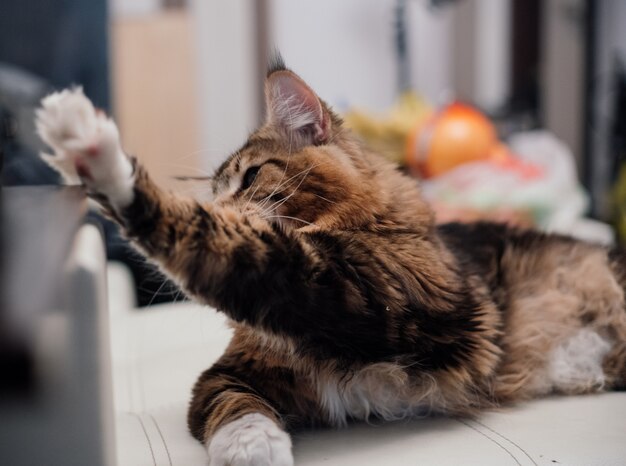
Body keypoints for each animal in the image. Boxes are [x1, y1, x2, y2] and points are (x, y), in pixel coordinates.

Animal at [35, 56, 624, 464]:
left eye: (250, 177)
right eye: (217, 191)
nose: (222, 205)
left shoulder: (353, 292)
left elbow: (216, 241)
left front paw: (93, 152)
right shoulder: (231, 371)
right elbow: (229, 407)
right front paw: (254, 450)